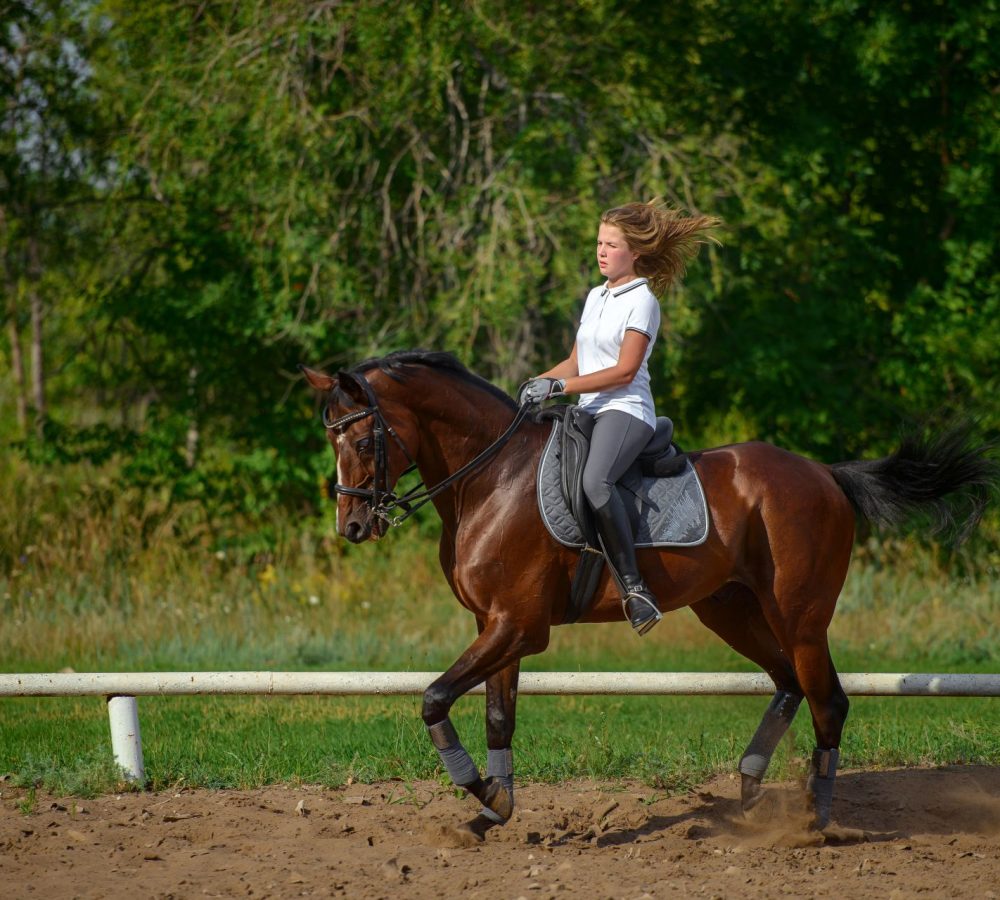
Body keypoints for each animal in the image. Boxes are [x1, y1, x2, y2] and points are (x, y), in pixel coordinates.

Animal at [301, 349, 996, 839]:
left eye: (361, 439)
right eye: (330, 437)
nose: (352, 527)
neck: (491, 478)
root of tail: (825, 473)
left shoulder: (519, 627)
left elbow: (434, 699)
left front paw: (484, 793)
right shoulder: (494, 626)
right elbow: (498, 717)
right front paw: (492, 809)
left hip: (799, 616)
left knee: (829, 700)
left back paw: (812, 821)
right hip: (731, 611)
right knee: (789, 685)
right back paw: (750, 793)